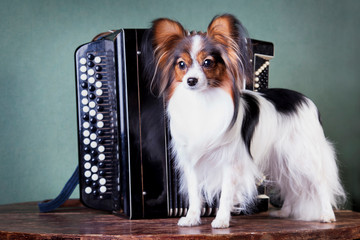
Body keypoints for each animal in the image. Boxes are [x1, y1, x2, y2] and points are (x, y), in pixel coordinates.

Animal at [141, 14, 346, 228]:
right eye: (181, 64)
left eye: (207, 62)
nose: (191, 80)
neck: (203, 101)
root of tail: (305, 100)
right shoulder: (193, 162)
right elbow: (195, 194)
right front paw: (192, 218)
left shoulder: (230, 162)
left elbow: (225, 194)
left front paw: (221, 220)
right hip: (282, 159)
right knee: (291, 184)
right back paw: (284, 212)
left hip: (303, 156)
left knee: (320, 183)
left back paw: (327, 215)